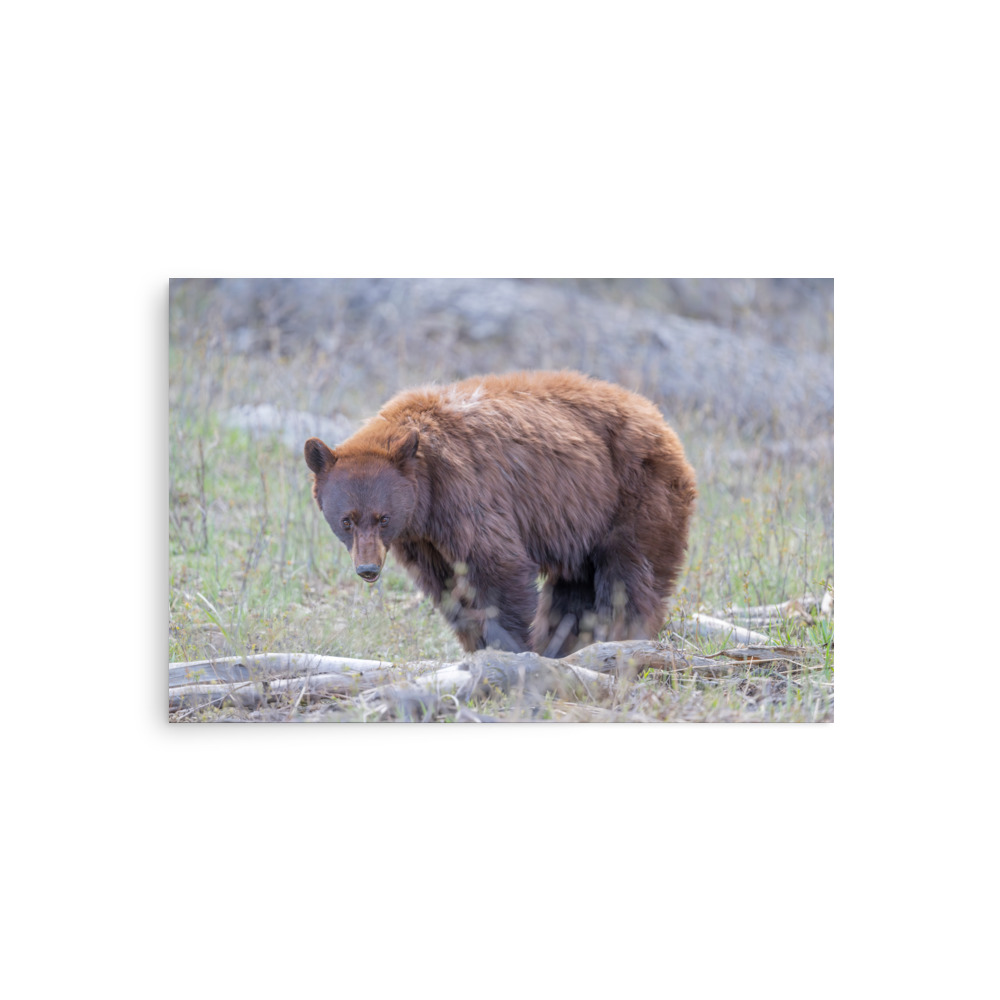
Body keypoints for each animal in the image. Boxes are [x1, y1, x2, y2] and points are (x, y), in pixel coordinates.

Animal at [304, 370, 697, 658]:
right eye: (347, 520)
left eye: (383, 518)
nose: (368, 569)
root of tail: (660, 419)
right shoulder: (422, 539)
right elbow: (448, 587)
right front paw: (478, 645)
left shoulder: (467, 492)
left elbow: (498, 567)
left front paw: (510, 647)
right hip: (582, 521)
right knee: (574, 589)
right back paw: (565, 643)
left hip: (634, 494)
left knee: (629, 576)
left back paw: (620, 637)